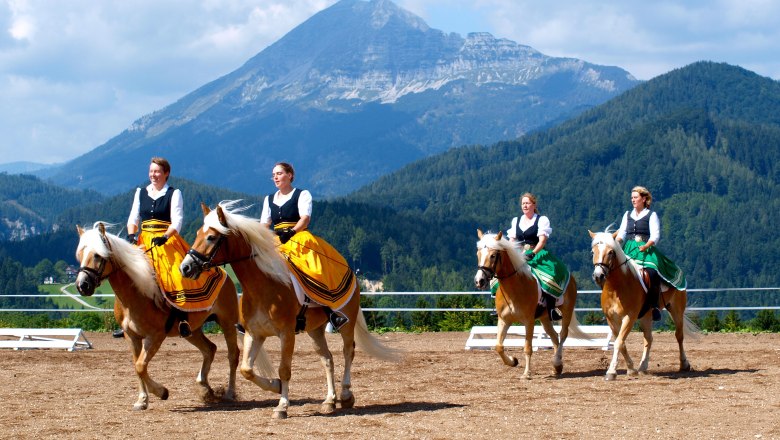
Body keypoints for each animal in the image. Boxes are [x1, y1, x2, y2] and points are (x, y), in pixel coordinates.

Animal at [78, 223, 241, 410]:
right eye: (80, 254)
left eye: (98, 255)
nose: (82, 285)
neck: (136, 293)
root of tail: (222, 273)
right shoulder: (131, 336)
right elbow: (137, 366)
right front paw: (142, 400)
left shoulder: (155, 336)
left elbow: (141, 365)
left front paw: (161, 392)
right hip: (192, 330)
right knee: (210, 349)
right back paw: (205, 388)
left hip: (227, 323)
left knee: (233, 355)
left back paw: (229, 393)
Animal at [180, 201, 400, 418]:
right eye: (198, 233)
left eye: (211, 237)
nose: (186, 268)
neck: (263, 285)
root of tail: (350, 271)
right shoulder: (254, 333)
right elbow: (246, 370)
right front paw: (276, 386)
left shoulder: (286, 333)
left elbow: (284, 369)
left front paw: (282, 406)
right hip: (315, 330)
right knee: (327, 359)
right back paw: (329, 401)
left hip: (347, 321)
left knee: (348, 352)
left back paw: (345, 395)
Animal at [472, 230, 588, 378]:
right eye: (478, 254)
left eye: (493, 255)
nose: (479, 281)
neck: (514, 287)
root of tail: (571, 277)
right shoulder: (504, 320)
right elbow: (498, 346)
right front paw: (513, 361)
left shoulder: (529, 321)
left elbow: (527, 348)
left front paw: (526, 373)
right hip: (545, 317)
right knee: (554, 336)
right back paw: (557, 367)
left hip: (566, 310)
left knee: (563, 334)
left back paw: (557, 361)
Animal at [592, 230, 696, 382]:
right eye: (593, 251)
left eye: (611, 252)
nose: (598, 276)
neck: (616, 288)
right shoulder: (611, 319)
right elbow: (621, 343)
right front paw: (631, 369)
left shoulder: (629, 317)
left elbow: (618, 342)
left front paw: (611, 372)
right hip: (646, 315)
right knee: (648, 338)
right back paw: (642, 367)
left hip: (676, 309)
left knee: (679, 336)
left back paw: (684, 364)